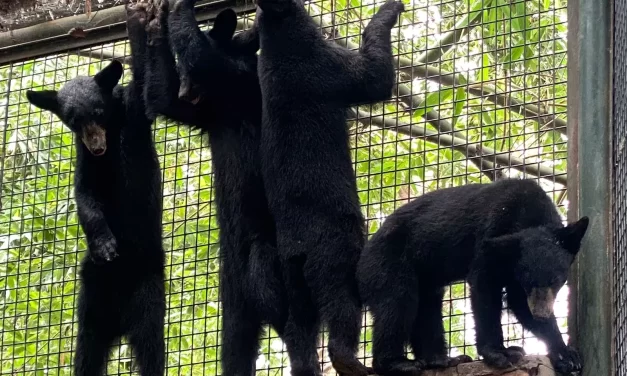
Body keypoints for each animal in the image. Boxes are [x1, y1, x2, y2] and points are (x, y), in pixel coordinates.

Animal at [25, 3, 166, 376]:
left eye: (99, 113)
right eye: (74, 121)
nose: (96, 143)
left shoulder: (133, 114)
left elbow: (150, 90)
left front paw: (138, 23)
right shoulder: (85, 161)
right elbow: (86, 196)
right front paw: (104, 243)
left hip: (147, 286)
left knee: (150, 344)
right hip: (92, 295)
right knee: (87, 348)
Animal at [142, 0, 284, 376]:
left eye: (187, 72)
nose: (185, 90)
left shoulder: (235, 80)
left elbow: (203, 55)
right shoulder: (207, 112)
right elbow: (162, 97)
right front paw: (147, 22)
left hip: (266, 248)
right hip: (232, 288)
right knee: (237, 340)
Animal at [256, 1, 408, 374]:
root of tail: (296, 249)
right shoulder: (332, 66)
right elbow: (375, 78)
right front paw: (388, 11)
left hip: (294, 287)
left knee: (298, 334)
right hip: (336, 262)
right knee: (341, 316)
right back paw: (355, 364)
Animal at [358, 179, 588, 376]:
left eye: (556, 280)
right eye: (528, 281)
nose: (541, 313)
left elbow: (519, 302)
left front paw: (567, 356)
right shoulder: (491, 237)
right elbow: (485, 289)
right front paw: (501, 353)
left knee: (427, 307)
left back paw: (442, 360)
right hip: (388, 260)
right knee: (398, 302)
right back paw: (398, 363)